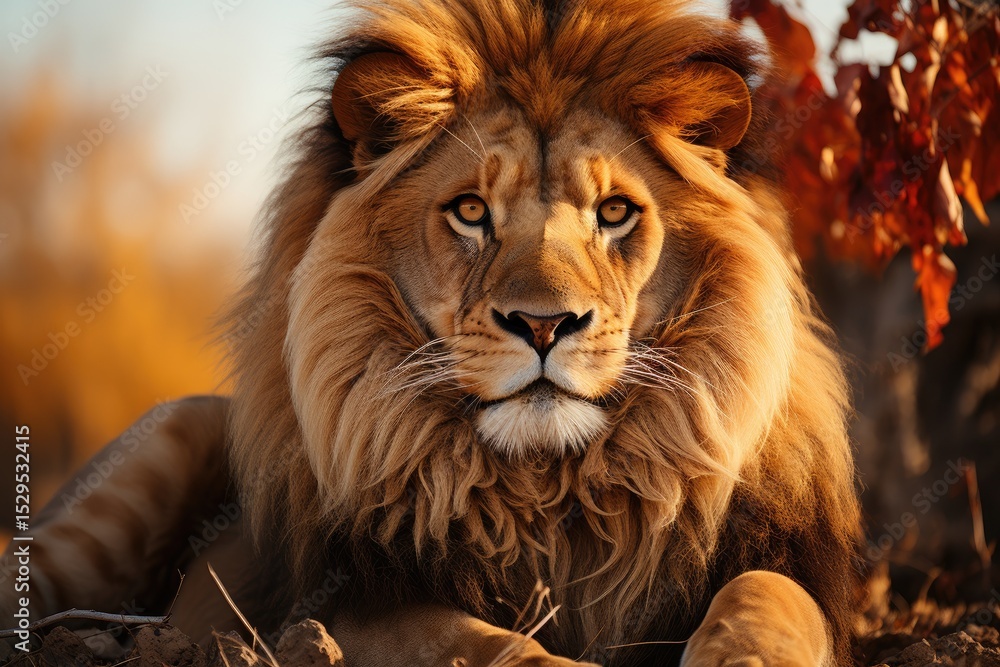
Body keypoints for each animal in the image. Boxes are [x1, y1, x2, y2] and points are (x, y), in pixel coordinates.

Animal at [1, 0, 863, 664]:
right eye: (471, 211)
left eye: (615, 212)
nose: (544, 323)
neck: (553, 491)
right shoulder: (351, 605)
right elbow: (491, 643)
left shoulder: (782, 566)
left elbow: (767, 599)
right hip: (155, 453)